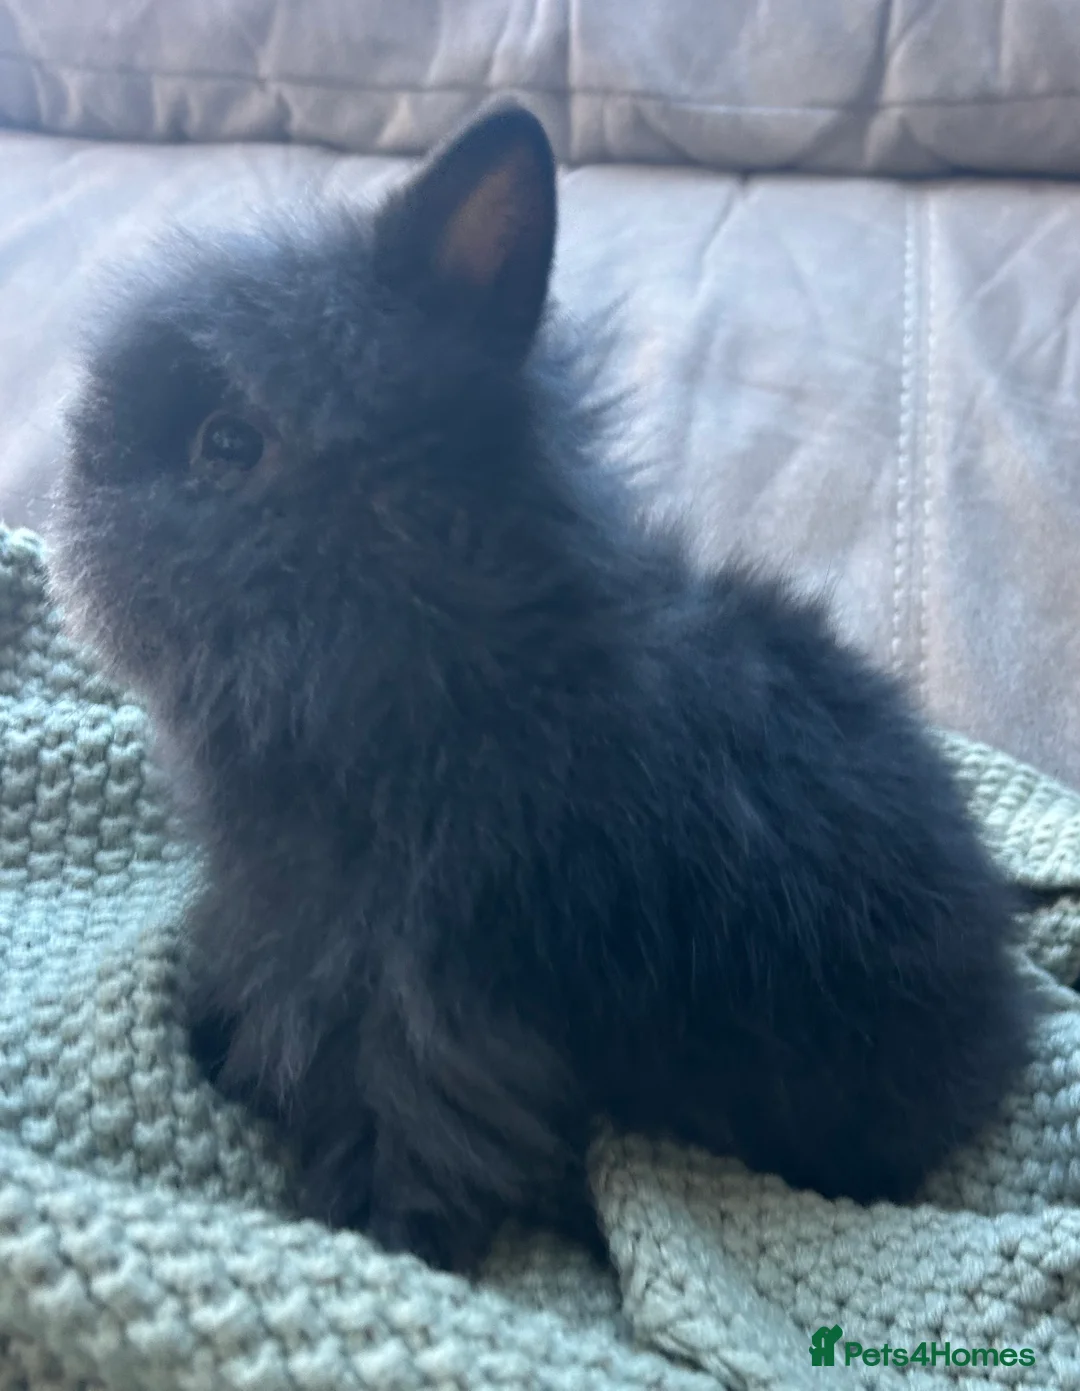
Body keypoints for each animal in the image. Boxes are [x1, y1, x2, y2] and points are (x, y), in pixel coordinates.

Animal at [48, 100, 1034, 1274]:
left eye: (228, 441)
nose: (70, 473)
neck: (448, 667)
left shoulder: (432, 1003)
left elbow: (417, 1128)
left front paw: (384, 1237)